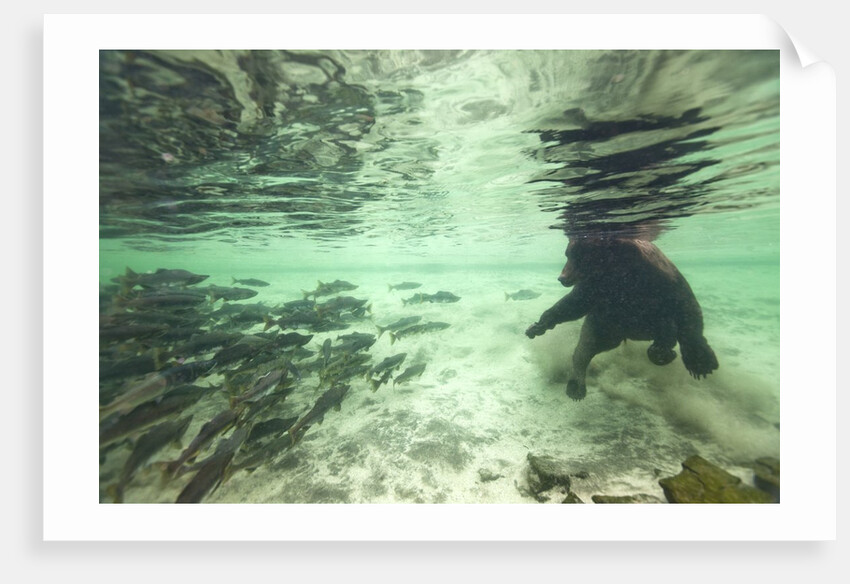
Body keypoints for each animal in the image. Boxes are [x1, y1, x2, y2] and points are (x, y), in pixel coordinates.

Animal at [526, 235, 718, 401]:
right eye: (568, 254)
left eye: (579, 255)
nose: (562, 278)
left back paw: (698, 363)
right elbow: (571, 305)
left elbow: (674, 315)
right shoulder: (595, 289)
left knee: (686, 328)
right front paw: (536, 326)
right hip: (607, 325)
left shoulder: (656, 283)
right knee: (586, 347)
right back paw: (575, 387)